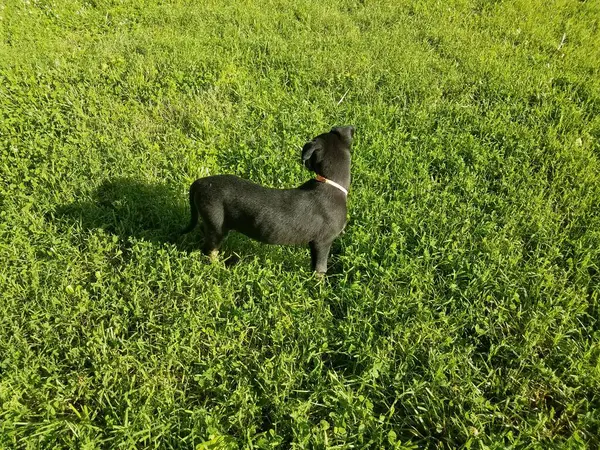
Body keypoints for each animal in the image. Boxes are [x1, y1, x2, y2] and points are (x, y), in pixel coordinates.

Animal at [180, 125, 354, 274]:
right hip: (217, 225)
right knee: (209, 250)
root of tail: (200, 182)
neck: (331, 183)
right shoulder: (323, 242)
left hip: (213, 224)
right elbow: (320, 269)